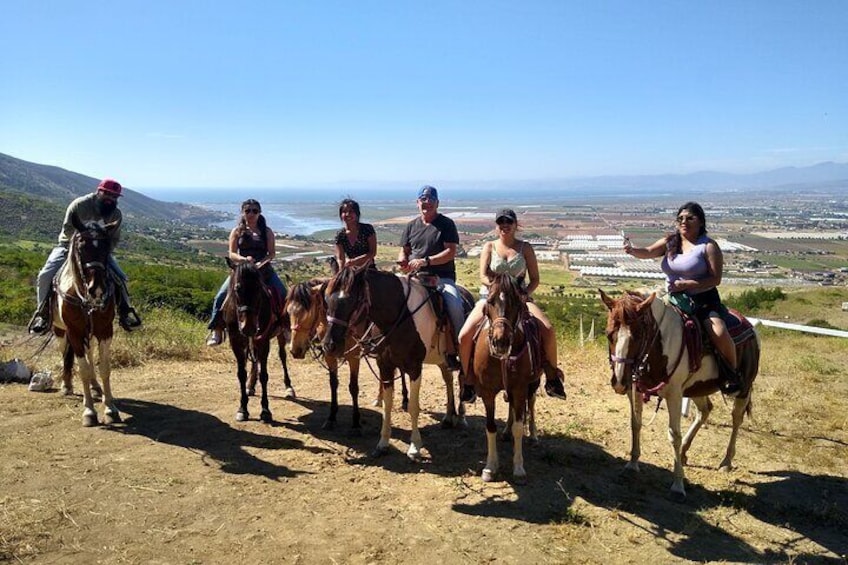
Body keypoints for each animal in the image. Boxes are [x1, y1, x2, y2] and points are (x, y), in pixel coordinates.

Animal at [52, 218, 121, 426]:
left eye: (107, 247)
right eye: (81, 246)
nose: (96, 289)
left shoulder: (105, 330)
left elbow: (104, 367)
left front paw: (110, 408)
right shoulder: (74, 332)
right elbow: (82, 369)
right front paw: (89, 411)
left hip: (89, 334)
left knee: (89, 355)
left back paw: (95, 386)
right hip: (60, 331)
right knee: (66, 353)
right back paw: (66, 385)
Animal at [222, 258, 292, 420]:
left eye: (259, 289)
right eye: (237, 289)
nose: (248, 327)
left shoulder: (263, 341)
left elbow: (264, 375)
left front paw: (265, 410)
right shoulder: (236, 341)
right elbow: (241, 374)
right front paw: (242, 409)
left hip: (278, 335)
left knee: (282, 356)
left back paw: (289, 388)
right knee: (255, 362)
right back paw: (250, 386)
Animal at [470, 272, 544, 480]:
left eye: (517, 302)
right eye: (490, 301)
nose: (500, 342)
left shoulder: (520, 388)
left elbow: (519, 427)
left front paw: (518, 467)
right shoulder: (487, 391)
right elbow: (490, 427)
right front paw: (490, 467)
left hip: (533, 383)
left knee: (531, 403)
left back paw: (533, 435)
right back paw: (505, 432)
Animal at [596, 288, 760, 496]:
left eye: (638, 336)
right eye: (609, 334)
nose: (619, 382)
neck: (658, 344)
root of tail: (750, 327)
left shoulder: (674, 394)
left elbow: (674, 435)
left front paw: (678, 485)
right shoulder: (636, 390)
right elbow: (635, 424)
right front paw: (632, 463)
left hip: (743, 388)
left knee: (737, 418)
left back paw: (726, 461)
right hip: (697, 388)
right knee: (705, 410)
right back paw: (684, 453)